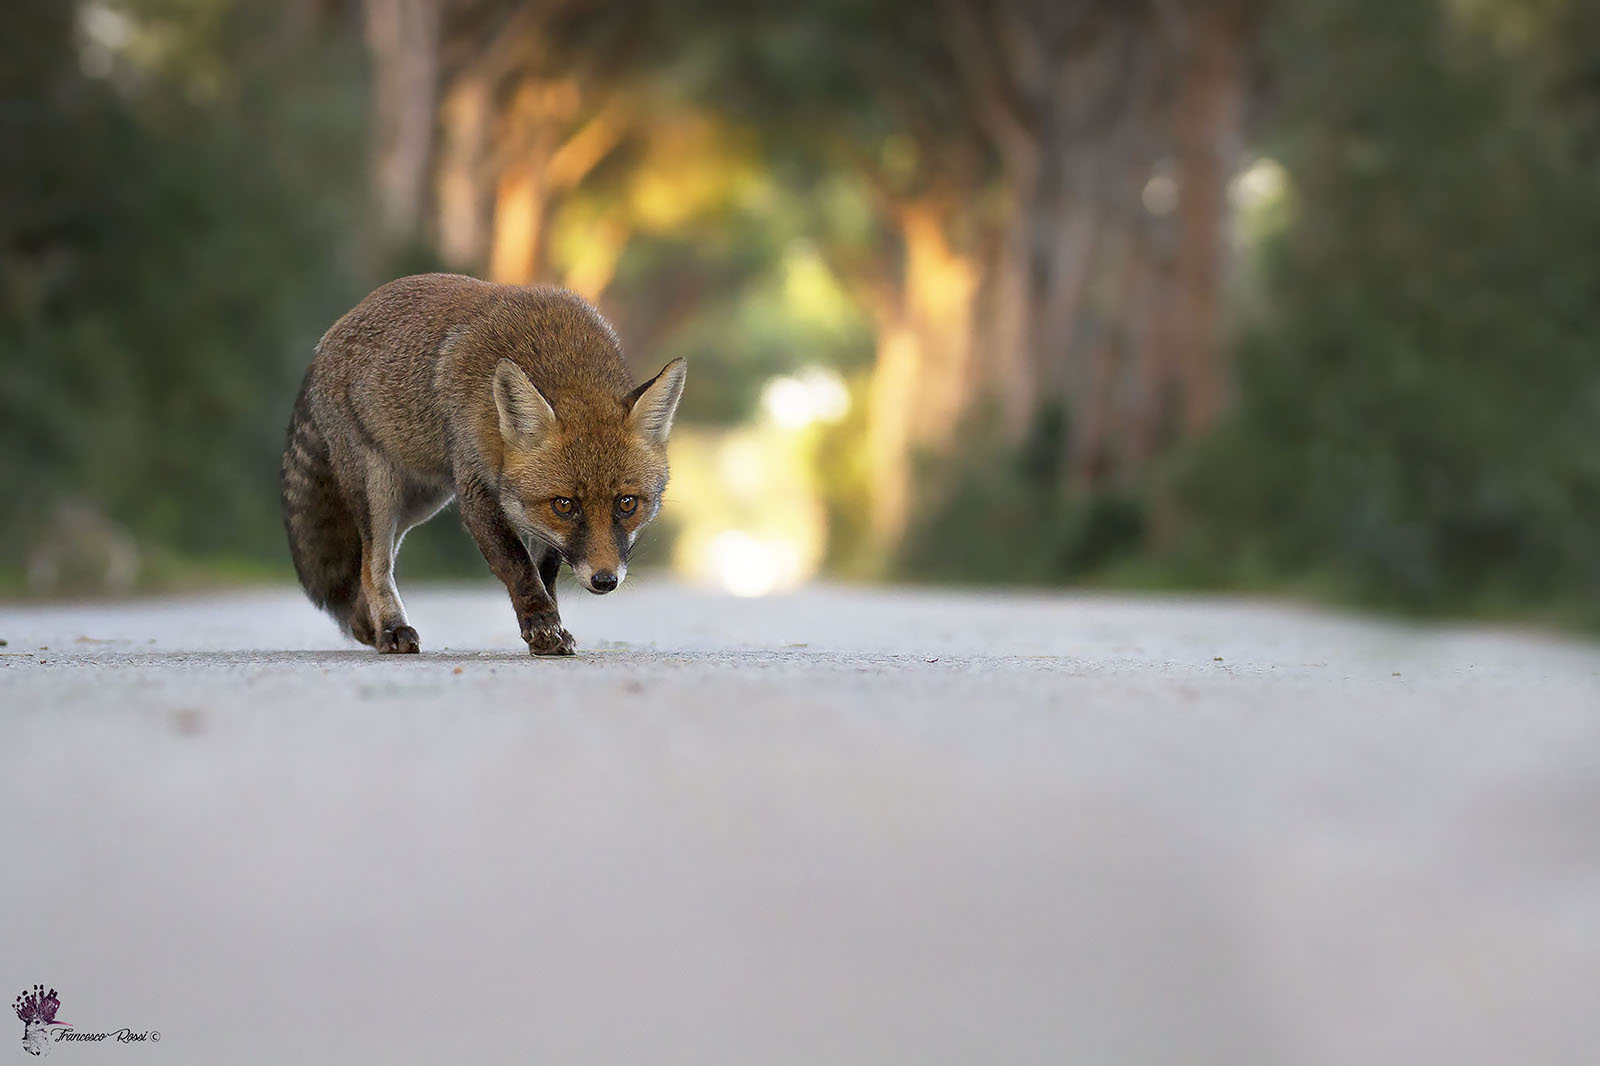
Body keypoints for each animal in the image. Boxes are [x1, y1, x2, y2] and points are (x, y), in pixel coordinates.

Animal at [280, 273, 686, 656]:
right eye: (565, 505)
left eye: (627, 503)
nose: (604, 580)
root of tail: (328, 337)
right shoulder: (476, 491)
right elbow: (519, 567)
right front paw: (542, 626)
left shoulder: (533, 519)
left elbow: (543, 571)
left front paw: (547, 626)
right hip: (379, 492)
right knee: (373, 565)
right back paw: (392, 630)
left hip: (419, 503)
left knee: (370, 561)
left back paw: (367, 626)